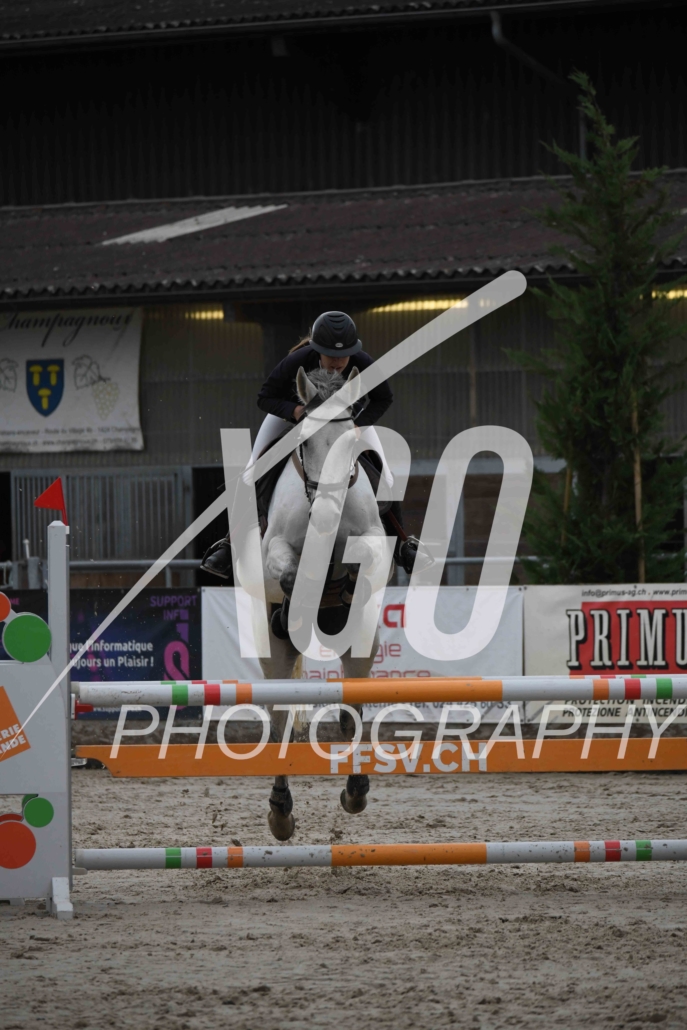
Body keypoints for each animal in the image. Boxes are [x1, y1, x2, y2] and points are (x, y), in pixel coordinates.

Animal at [252, 366, 392, 840]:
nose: (327, 513)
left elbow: (362, 558)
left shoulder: (374, 540)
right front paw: (301, 602)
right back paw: (280, 812)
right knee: (279, 719)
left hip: (364, 645)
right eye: (307, 441)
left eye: (349, 440)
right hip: (271, 653)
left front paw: (343, 587)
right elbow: (291, 573)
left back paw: (356, 790)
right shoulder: (274, 549)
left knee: (353, 710)